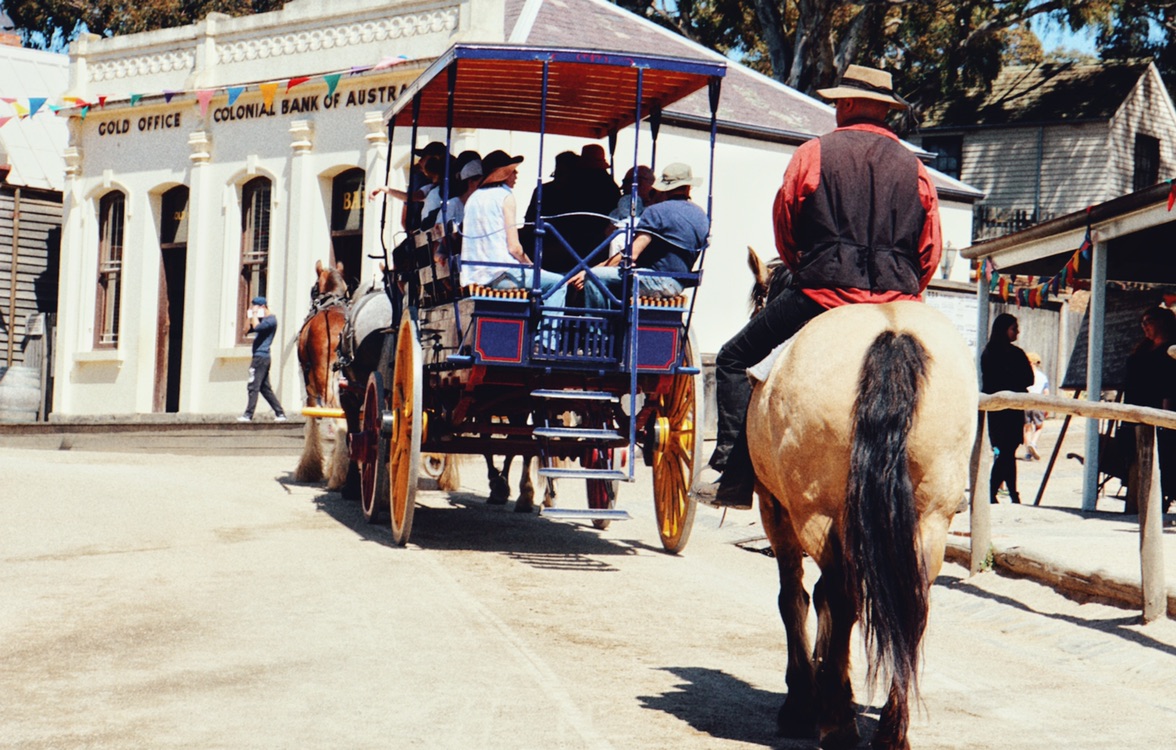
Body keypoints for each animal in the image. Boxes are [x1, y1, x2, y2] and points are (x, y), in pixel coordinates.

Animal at [747, 252, 978, 750]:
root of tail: (892, 335)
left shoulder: (776, 508)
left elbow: (794, 597)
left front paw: (802, 701)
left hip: (817, 513)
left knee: (838, 594)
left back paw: (836, 722)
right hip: (929, 519)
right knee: (910, 605)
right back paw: (890, 729)